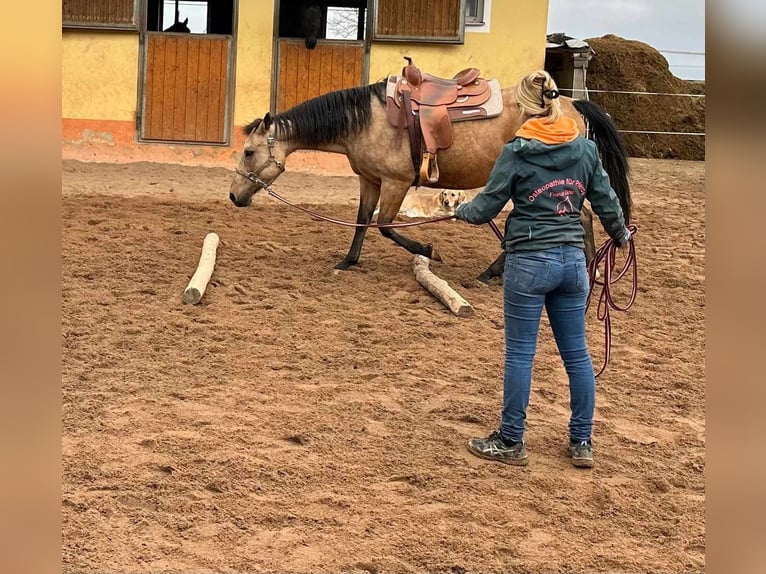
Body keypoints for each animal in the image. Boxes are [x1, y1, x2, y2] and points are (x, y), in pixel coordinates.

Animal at [228, 61, 632, 284]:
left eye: (248, 152)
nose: (233, 195)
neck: (366, 119)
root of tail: (571, 103)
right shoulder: (370, 180)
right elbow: (362, 220)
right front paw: (348, 261)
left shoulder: (396, 183)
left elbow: (385, 226)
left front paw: (428, 250)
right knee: (578, 218)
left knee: (572, 218)